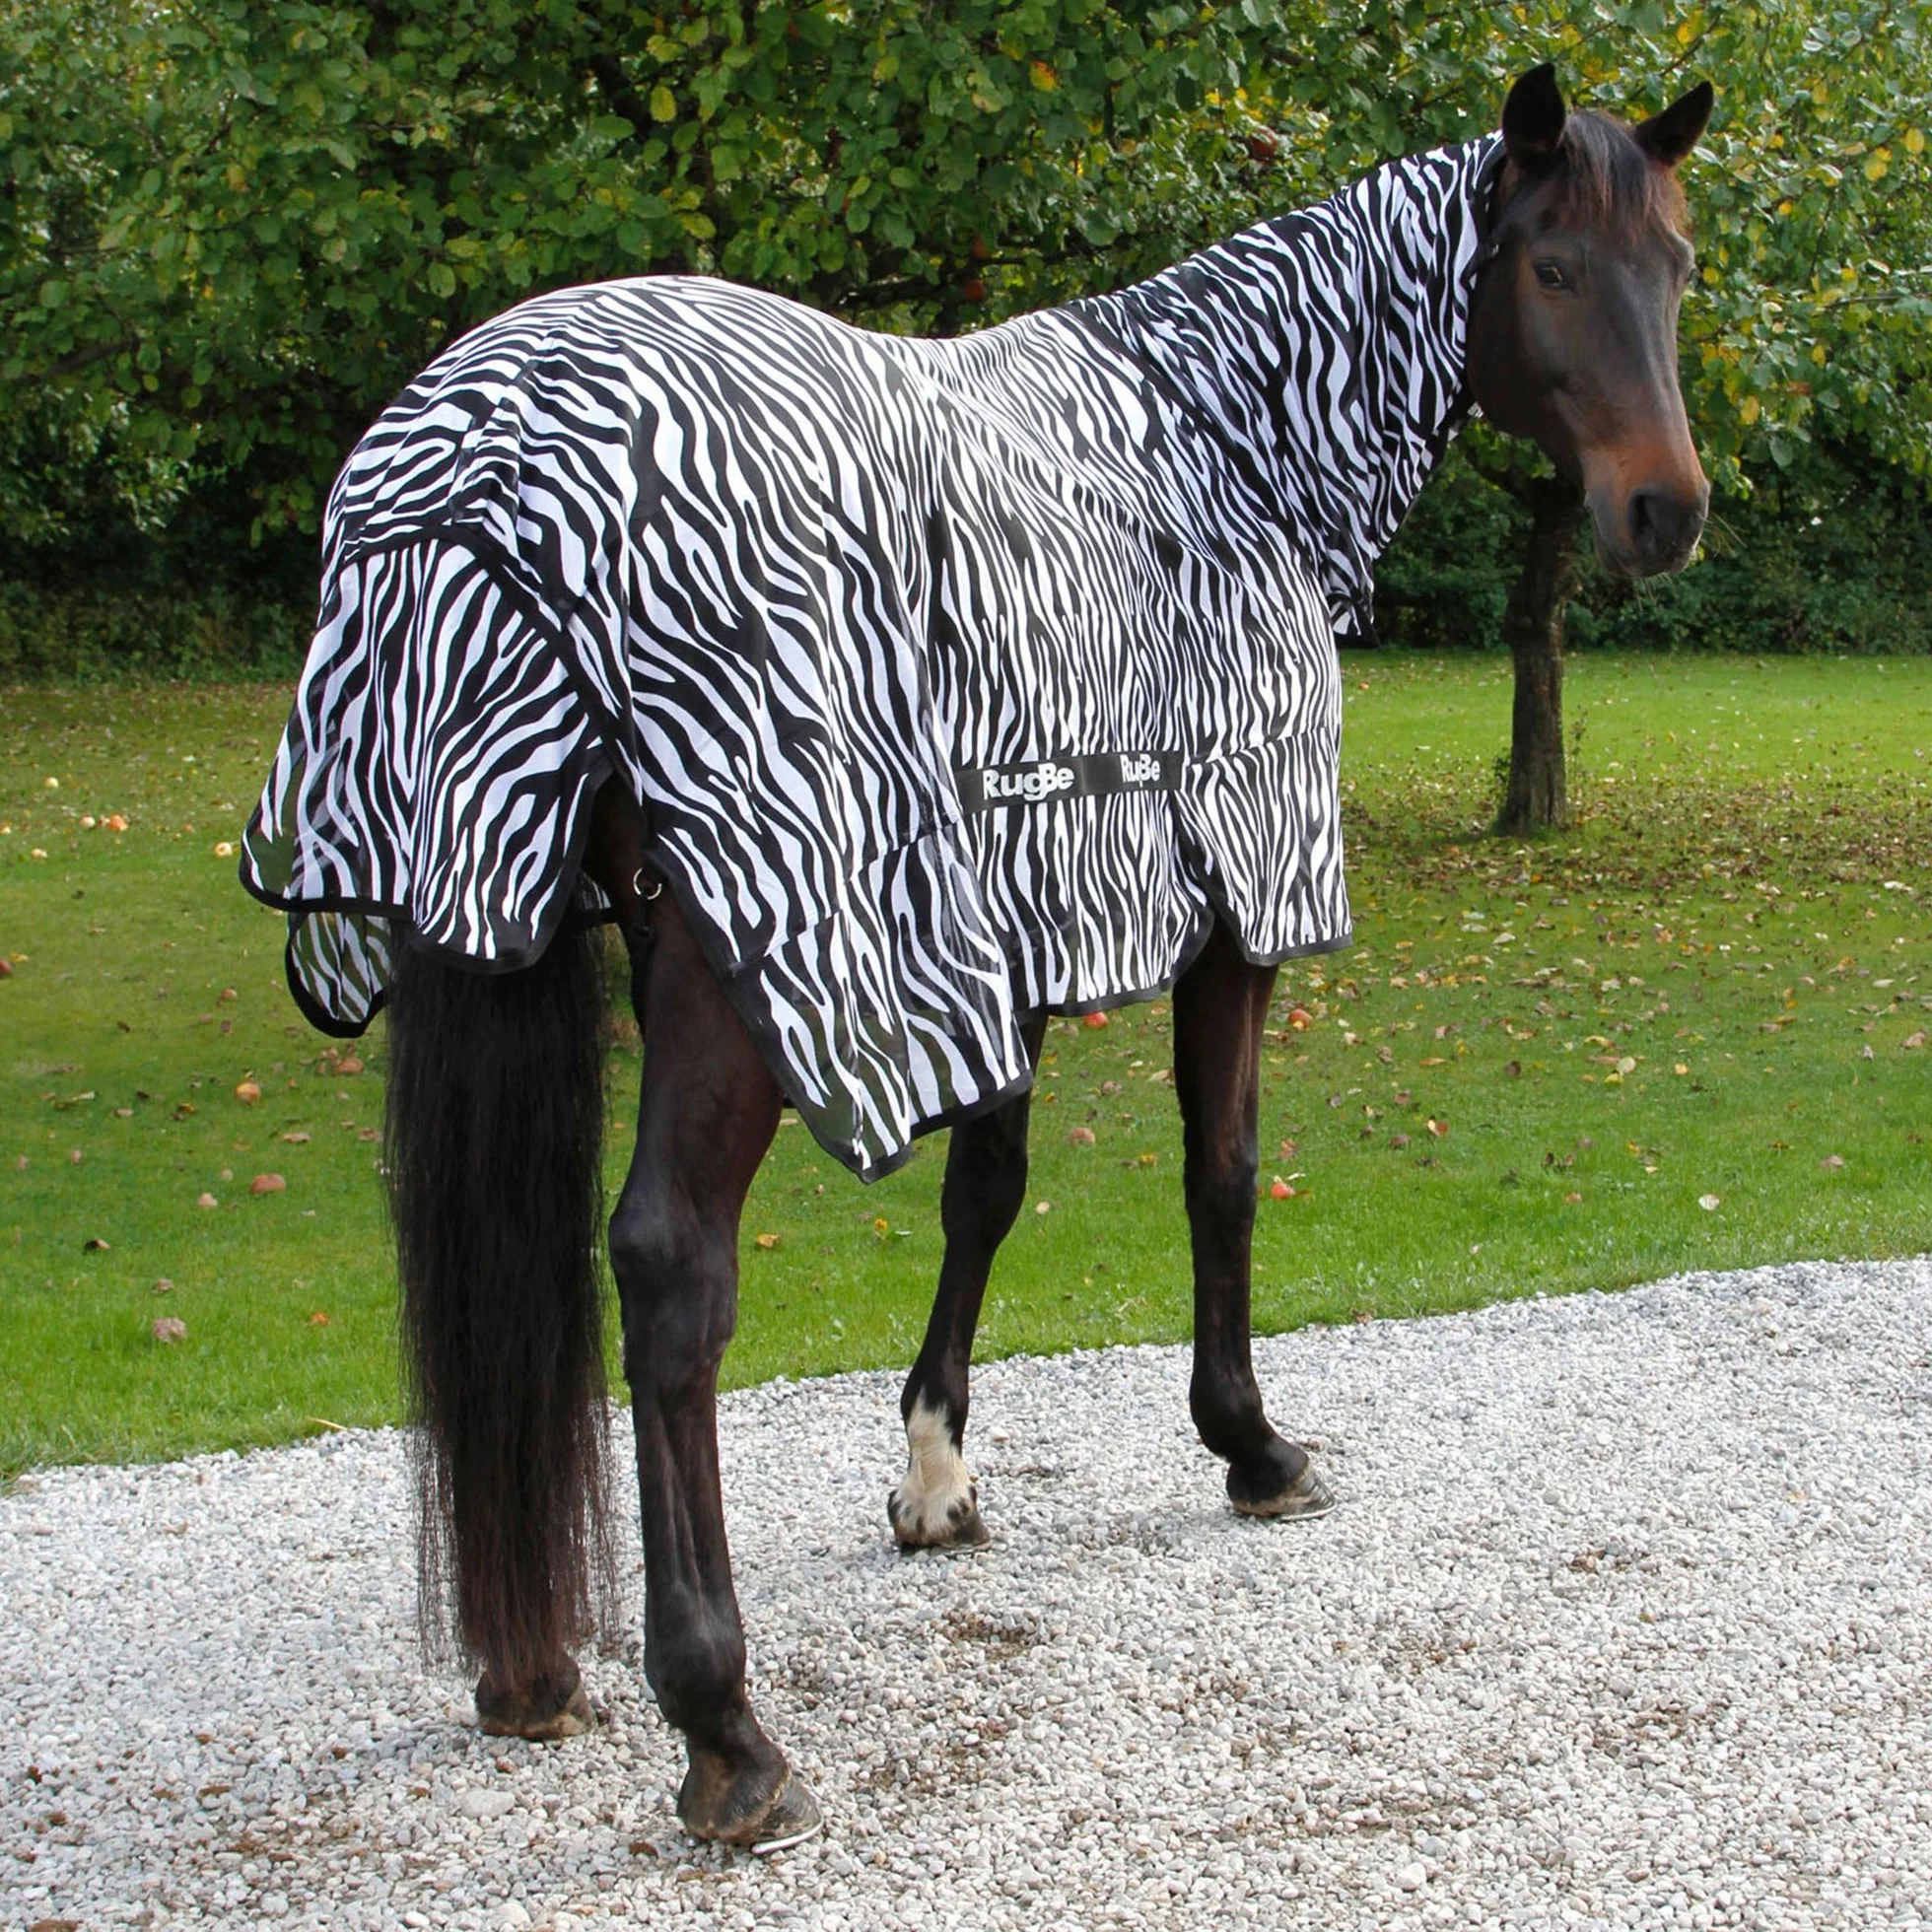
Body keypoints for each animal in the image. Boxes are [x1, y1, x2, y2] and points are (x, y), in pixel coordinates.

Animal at [244, 63, 1713, 1851]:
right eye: (1554, 268)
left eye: (1680, 265)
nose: (1666, 511)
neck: (1219, 446)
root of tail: (475, 466)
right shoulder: (1229, 905)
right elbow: (1222, 1172)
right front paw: (1250, 1444)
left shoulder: (1005, 924)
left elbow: (985, 1185)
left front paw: (935, 1472)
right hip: (738, 958)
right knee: (668, 1271)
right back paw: (724, 1726)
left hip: (496, 902)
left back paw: (530, 1669)